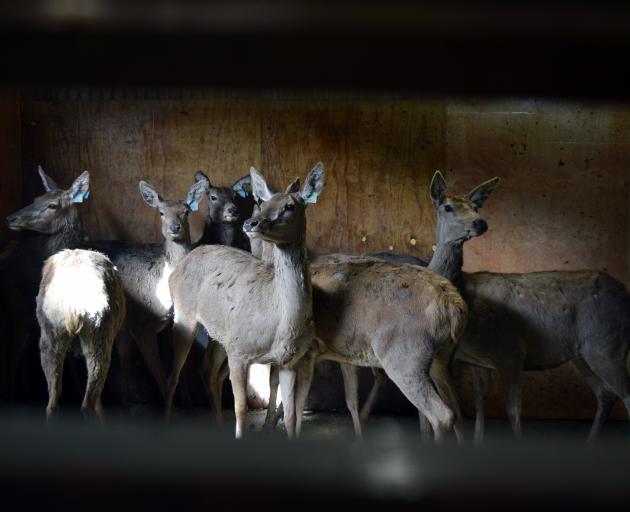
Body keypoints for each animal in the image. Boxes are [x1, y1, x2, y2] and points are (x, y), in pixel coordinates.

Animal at [90, 178, 207, 406]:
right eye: (160, 212)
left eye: (186, 211)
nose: (174, 227)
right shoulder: (142, 326)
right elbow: (161, 379)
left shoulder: (161, 325)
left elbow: (173, 376)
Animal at [165, 163, 328, 436]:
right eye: (262, 202)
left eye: (290, 206)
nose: (251, 222)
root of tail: (178, 267)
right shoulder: (240, 351)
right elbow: (240, 408)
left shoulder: (289, 360)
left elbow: (292, 415)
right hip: (185, 316)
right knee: (174, 375)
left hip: (221, 333)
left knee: (208, 370)